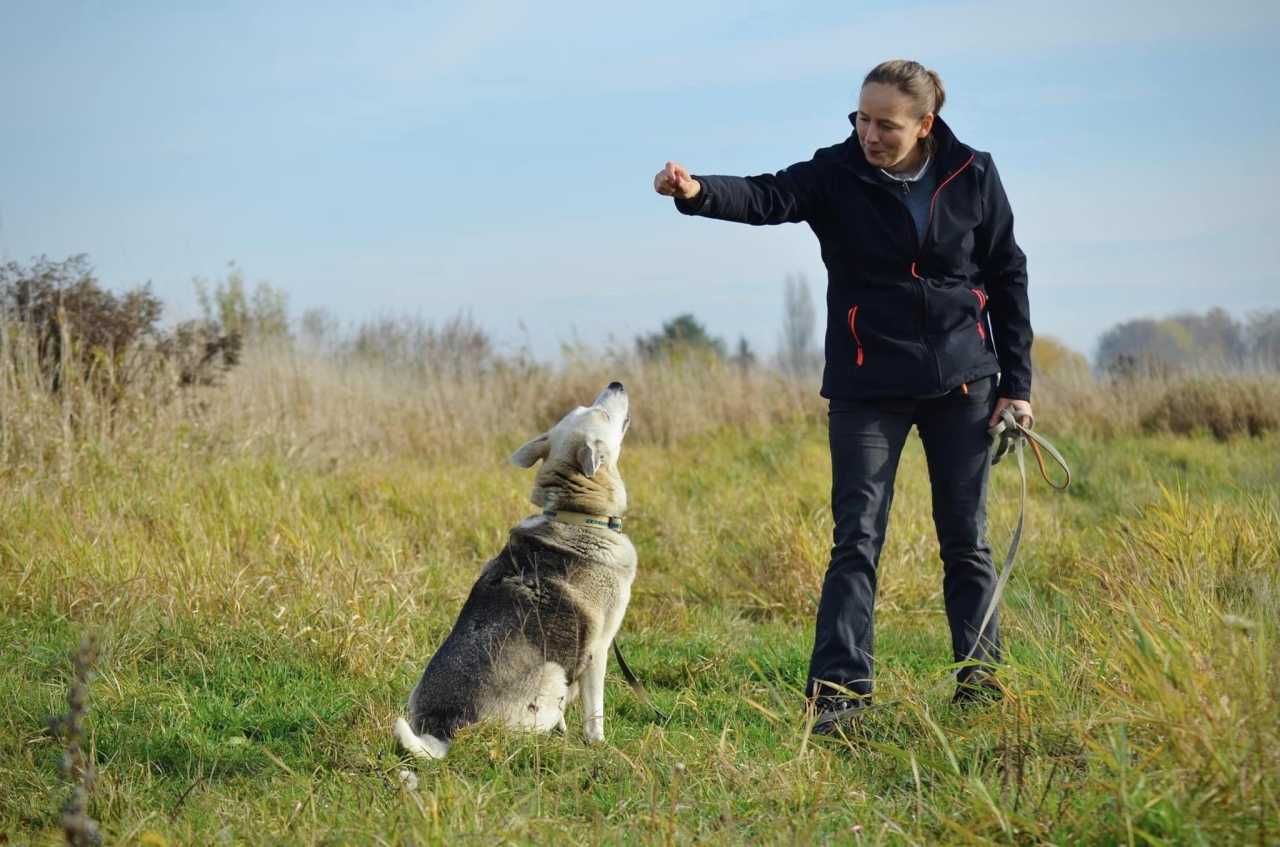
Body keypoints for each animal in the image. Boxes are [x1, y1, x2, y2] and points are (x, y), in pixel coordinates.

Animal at [386, 381, 632, 757]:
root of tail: (444, 728)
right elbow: (595, 712)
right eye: (602, 414)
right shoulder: (598, 650)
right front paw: (597, 744)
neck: (576, 515)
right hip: (553, 676)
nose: (616, 383)